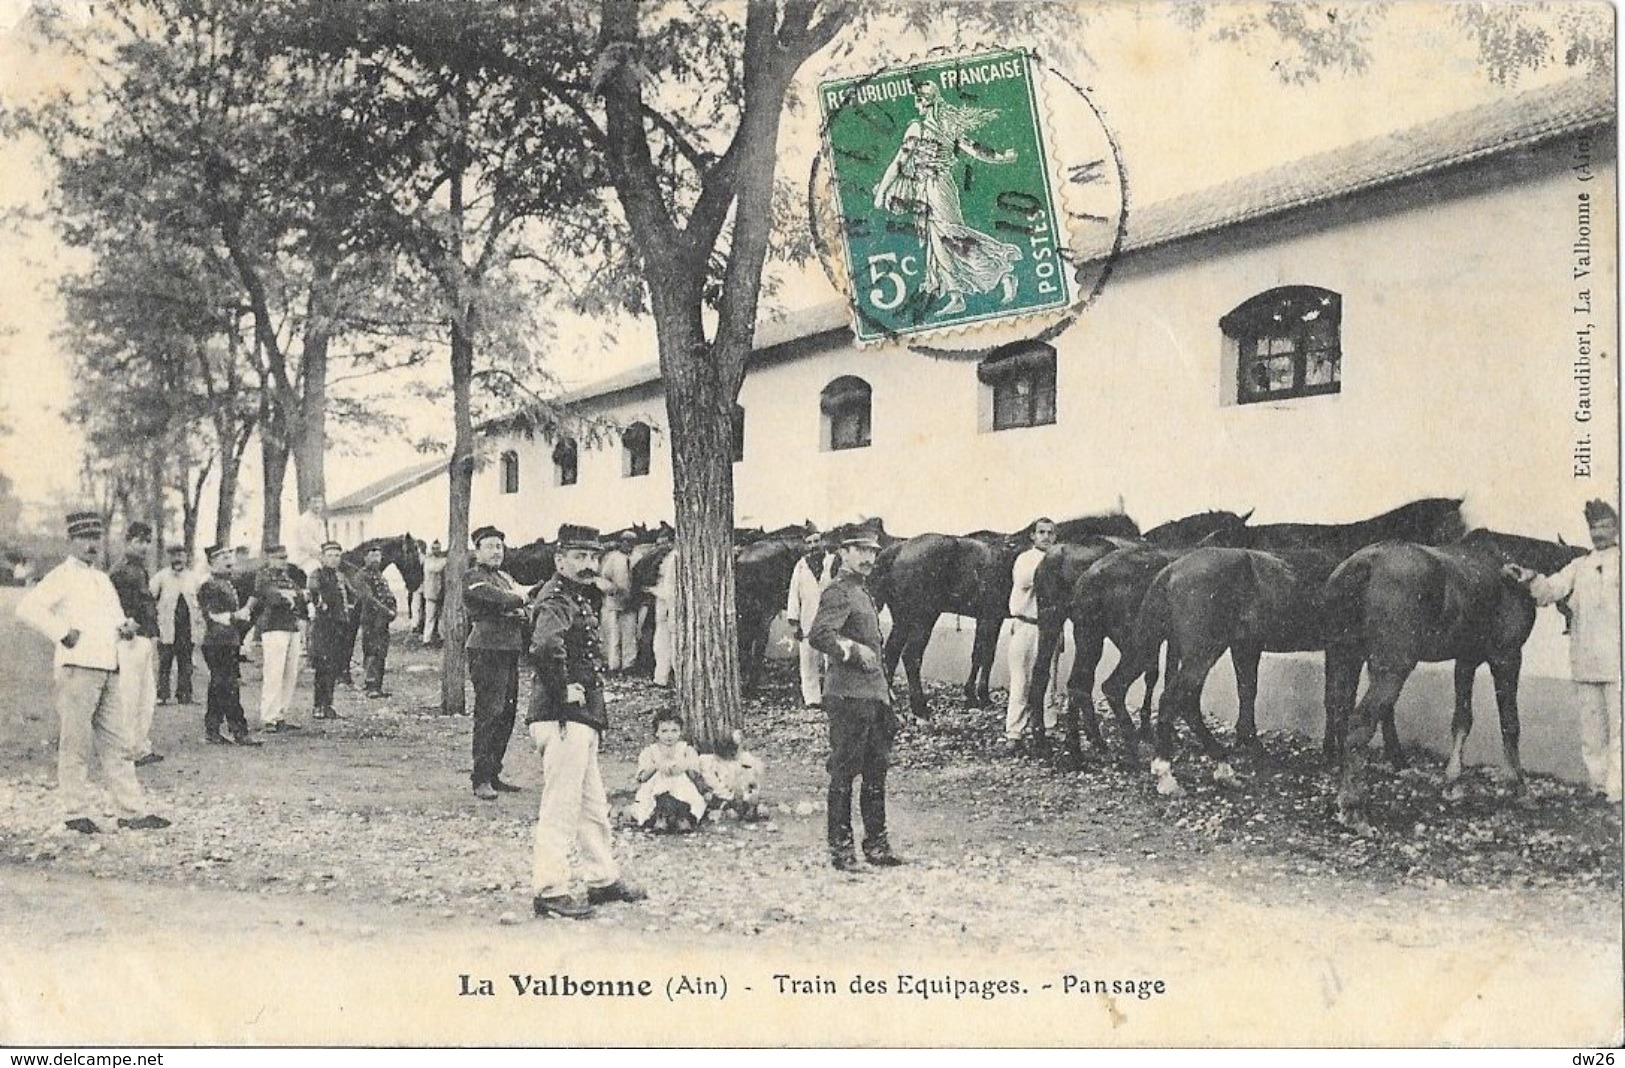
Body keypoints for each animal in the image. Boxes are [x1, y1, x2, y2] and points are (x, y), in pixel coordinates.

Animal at [877, 510, 1144, 725]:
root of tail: (899, 549)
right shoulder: (989, 618)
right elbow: (982, 654)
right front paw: (976, 696)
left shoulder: (990, 617)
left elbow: (984, 655)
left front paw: (978, 696)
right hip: (924, 616)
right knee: (910, 657)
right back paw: (920, 710)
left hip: (903, 617)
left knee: (890, 653)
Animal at [1027, 507, 1254, 757]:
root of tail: (1058, 554)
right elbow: (1159, 674)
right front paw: (1156, 730)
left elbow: (1157, 673)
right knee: (1080, 682)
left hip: (1054, 622)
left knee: (1044, 674)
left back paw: (1050, 741)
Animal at [1124, 497, 1469, 790]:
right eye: (1453, 533)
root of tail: (1173, 570)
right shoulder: (1354, 649)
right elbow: (1355, 702)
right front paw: (1387, 757)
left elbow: (1319, 696)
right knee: (1177, 698)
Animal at [1319, 529, 1586, 829]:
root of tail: (1361, 566)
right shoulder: (1507, 658)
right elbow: (1510, 724)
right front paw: (1519, 787)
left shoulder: (1466, 661)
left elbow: (1462, 720)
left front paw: (1452, 783)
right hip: (1392, 669)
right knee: (1358, 725)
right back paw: (1353, 806)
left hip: (1344, 656)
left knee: (1339, 714)